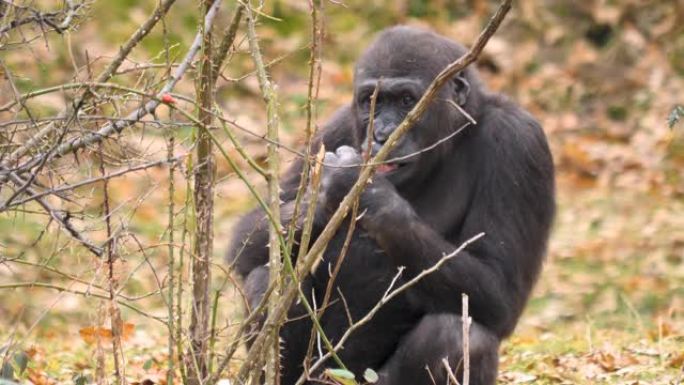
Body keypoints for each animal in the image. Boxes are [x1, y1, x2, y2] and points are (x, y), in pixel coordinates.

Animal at [228, 25, 556, 382]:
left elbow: (500, 287)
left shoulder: (518, 141)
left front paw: (362, 189)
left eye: (407, 101)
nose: (382, 134)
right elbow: (248, 237)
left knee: (456, 332)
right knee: (269, 277)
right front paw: (327, 197)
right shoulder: (337, 126)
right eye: (371, 101)